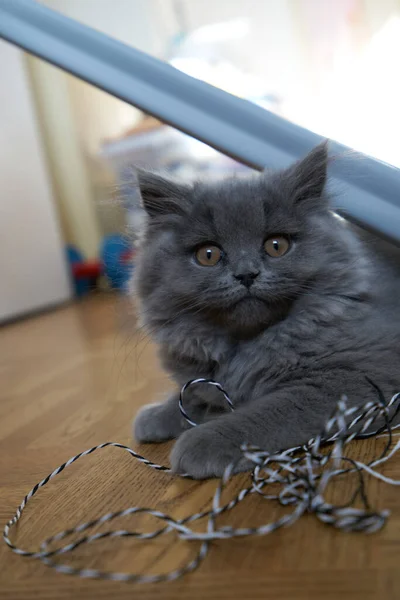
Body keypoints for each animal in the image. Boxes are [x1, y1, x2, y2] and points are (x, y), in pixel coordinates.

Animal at [132, 145, 400, 478]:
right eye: (208, 254)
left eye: (276, 246)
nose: (247, 274)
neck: (245, 347)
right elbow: (193, 394)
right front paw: (156, 415)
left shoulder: (359, 376)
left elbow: (268, 412)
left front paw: (201, 441)